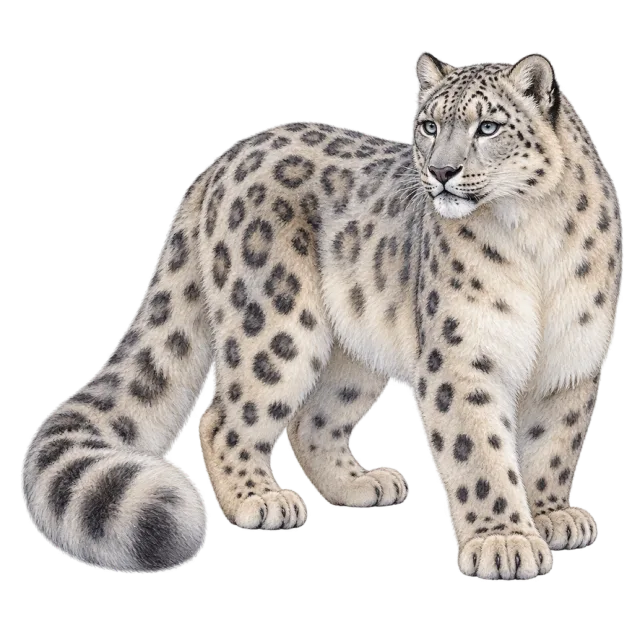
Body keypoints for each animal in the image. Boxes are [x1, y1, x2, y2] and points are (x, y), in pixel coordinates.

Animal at [23, 52, 623, 579]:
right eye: (429, 125)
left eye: (489, 127)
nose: (442, 171)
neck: (533, 234)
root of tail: (224, 162)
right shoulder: (462, 355)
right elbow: (479, 453)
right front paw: (504, 542)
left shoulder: (572, 358)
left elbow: (553, 444)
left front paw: (551, 516)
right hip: (277, 323)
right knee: (223, 416)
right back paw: (259, 499)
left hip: (359, 346)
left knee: (311, 417)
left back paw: (362, 484)